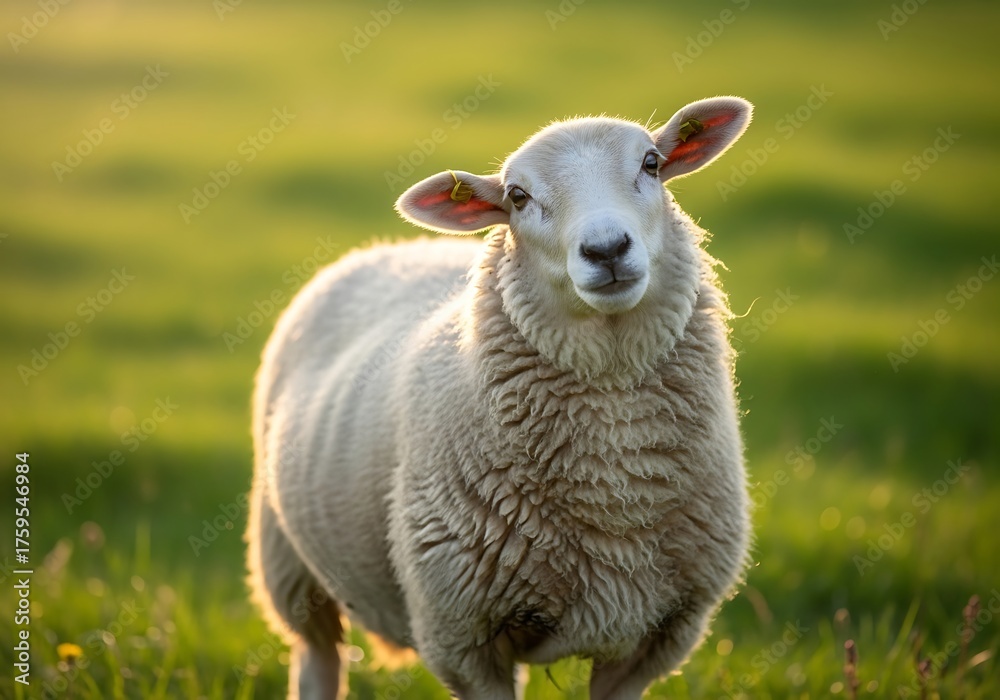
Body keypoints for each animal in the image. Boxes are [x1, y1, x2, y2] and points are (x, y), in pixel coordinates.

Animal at [246, 95, 753, 700]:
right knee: (317, 656)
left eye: (652, 163)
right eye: (517, 197)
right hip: (289, 564)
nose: (606, 249)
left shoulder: (658, 636)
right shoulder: (463, 637)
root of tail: (391, 247)